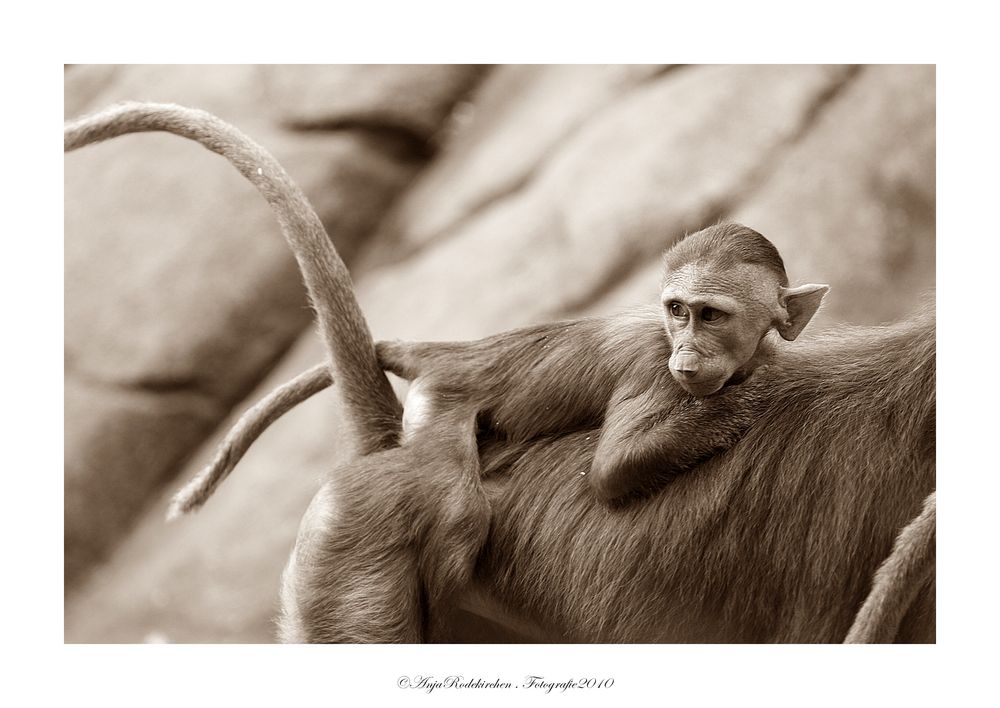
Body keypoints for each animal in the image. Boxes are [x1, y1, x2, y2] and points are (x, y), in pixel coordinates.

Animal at [172, 221, 828, 508]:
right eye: (677, 311)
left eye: (710, 315)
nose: (687, 355)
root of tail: (460, 352)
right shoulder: (652, 368)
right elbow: (612, 471)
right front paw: (740, 404)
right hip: (438, 404)